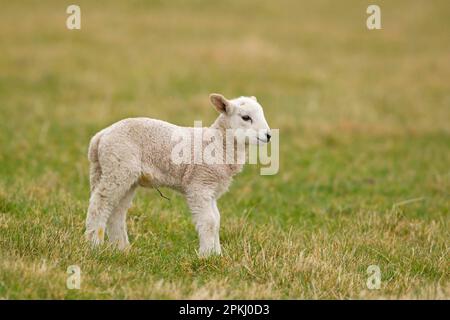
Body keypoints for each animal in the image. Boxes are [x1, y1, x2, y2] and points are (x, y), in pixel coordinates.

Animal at [86, 93, 272, 258]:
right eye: (246, 117)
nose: (269, 135)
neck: (218, 143)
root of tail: (100, 137)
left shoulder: (211, 189)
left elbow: (217, 220)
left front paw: (217, 255)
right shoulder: (199, 184)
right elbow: (209, 221)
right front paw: (206, 255)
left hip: (119, 174)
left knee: (116, 211)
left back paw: (122, 249)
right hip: (118, 167)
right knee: (100, 203)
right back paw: (94, 245)